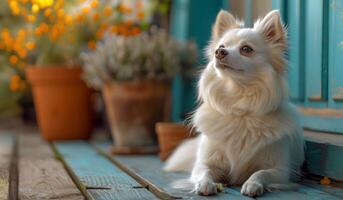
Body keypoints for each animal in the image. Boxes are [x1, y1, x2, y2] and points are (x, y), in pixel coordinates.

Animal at [165, 9, 306, 197]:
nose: (219, 52)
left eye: (246, 49)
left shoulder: (280, 171)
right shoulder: (205, 163)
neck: (239, 106)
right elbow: (204, 171)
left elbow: (261, 173)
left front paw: (253, 184)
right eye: (221, 46)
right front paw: (204, 184)